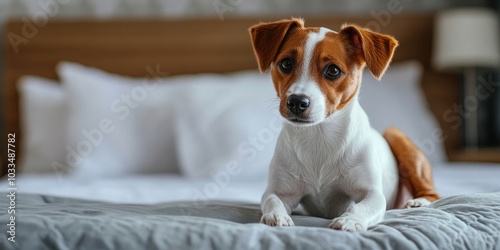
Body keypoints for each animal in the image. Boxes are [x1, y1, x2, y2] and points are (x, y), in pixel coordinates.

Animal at [248, 18, 440, 232]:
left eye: (333, 70)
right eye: (286, 63)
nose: (297, 101)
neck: (319, 136)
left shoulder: (373, 194)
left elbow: (361, 206)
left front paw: (349, 220)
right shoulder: (279, 191)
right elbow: (272, 200)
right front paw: (276, 216)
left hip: (397, 138)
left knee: (433, 193)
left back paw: (418, 202)